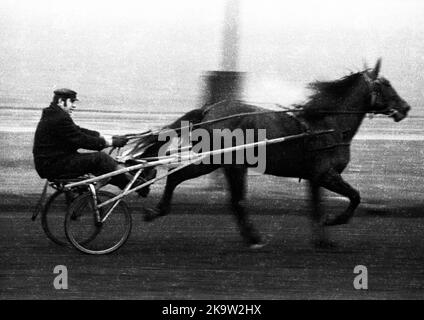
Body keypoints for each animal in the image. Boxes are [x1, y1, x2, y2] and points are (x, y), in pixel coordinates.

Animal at [137, 60, 410, 249]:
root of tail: (209, 110)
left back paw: (251, 237)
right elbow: (355, 197)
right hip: (216, 161)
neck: (327, 124)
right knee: (181, 179)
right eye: (385, 84)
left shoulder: (315, 178)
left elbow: (316, 208)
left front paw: (323, 240)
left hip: (224, 163)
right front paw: (335, 220)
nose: (406, 107)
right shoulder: (326, 174)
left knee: (232, 200)